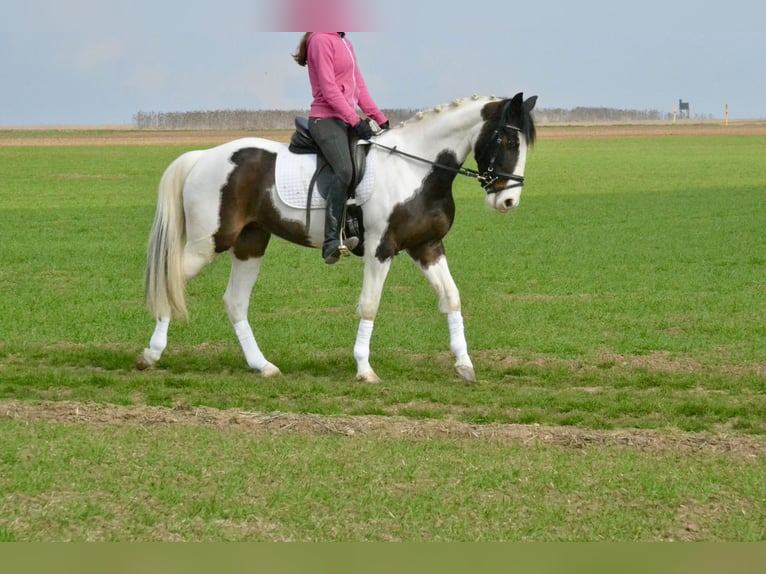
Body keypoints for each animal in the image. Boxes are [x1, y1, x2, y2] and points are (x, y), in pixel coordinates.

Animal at [137, 92, 537, 383]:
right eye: (506, 138)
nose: (509, 201)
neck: (415, 169)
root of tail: (203, 156)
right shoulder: (381, 249)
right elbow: (370, 305)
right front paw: (364, 370)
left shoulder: (427, 247)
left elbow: (451, 298)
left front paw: (465, 365)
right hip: (209, 243)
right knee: (171, 281)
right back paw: (150, 354)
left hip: (250, 243)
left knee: (235, 302)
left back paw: (262, 366)